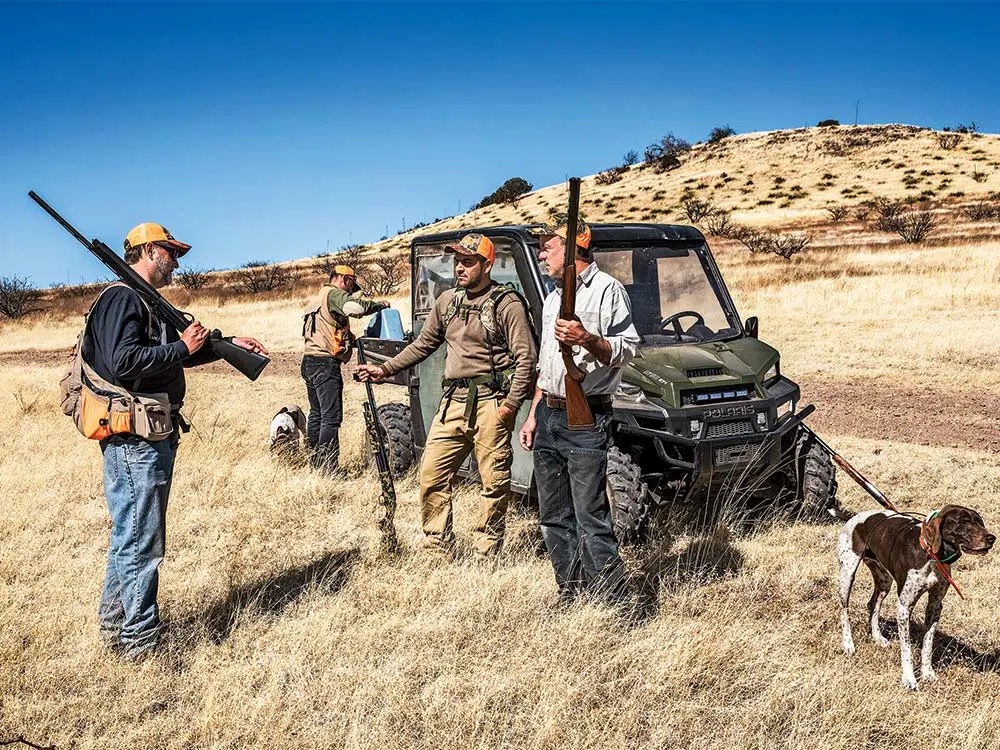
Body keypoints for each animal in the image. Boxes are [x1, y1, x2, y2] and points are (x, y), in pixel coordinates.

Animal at [836, 506, 992, 692]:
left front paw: (927, 673)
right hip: (847, 574)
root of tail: (854, 518)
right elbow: (907, 649)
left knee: (873, 604)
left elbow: (927, 645)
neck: (931, 555)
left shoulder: (935, 605)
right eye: (964, 521)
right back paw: (848, 644)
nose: (992, 538)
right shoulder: (905, 607)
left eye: (980, 522)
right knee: (844, 611)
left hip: (884, 580)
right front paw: (909, 679)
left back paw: (877, 637)